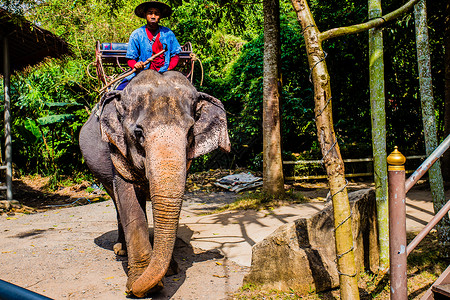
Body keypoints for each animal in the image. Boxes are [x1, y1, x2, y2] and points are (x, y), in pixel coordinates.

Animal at [78, 70, 230, 298]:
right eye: (138, 133)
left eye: (190, 133)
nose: (129, 291)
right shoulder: (117, 152)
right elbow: (130, 204)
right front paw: (141, 283)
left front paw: (170, 271)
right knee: (115, 202)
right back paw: (121, 250)